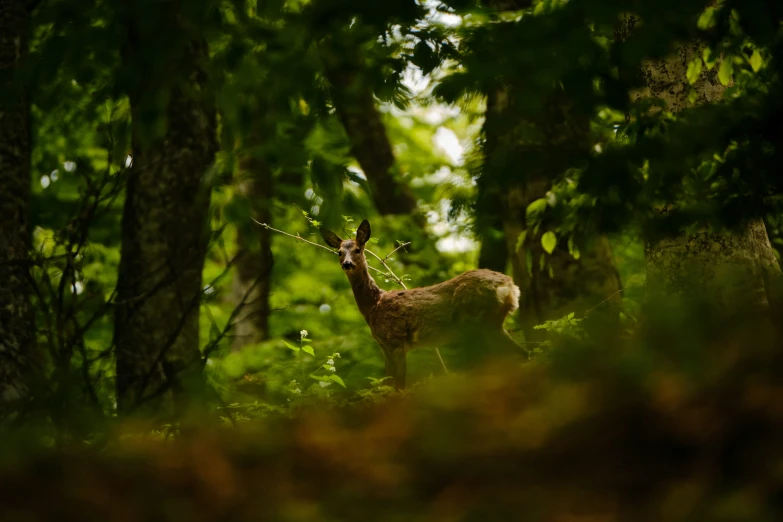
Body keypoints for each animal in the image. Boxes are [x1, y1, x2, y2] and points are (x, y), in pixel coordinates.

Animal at [322, 217, 524, 388]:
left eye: (357, 249)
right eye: (339, 252)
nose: (347, 264)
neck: (374, 305)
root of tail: (510, 286)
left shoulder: (396, 339)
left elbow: (399, 385)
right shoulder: (384, 346)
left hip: (483, 320)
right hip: (490, 323)